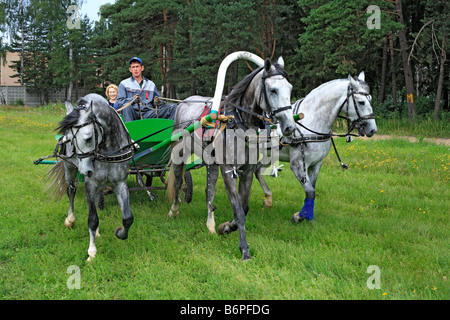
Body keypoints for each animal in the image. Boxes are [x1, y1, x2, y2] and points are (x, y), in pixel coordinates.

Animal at [48, 94, 135, 262]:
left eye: (88, 138)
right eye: (70, 138)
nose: (86, 171)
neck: (109, 150)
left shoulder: (120, 183)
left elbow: (127, 218)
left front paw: (120, 232)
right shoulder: (91, 182)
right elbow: (93, 219)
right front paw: (92, 252)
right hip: (69, 168)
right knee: (71, 191)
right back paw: (70, 220)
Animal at [167, 56, 298, 258]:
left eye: (290, 88)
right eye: (273, 90)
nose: (290, 126)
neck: (238, 124)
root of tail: (183, 103)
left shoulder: (247, 172)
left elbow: (244, 208)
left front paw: (225, 227)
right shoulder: (229, 171)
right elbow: (238, 210)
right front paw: (244, 249)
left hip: (212, 163)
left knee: (209, 191)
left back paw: (210, 225)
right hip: (179, 154)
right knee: (178, 182)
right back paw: (174, 211)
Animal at [255, 72, 378, 222]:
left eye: (370, 99)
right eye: (361, 102)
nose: (373, 129)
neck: (312, 122)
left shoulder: (317, 164)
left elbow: (312, 189)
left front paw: (307, 216)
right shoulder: (298, 165)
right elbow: (310, 191)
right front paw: (300, 216)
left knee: (257, 171)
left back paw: (268, 199)